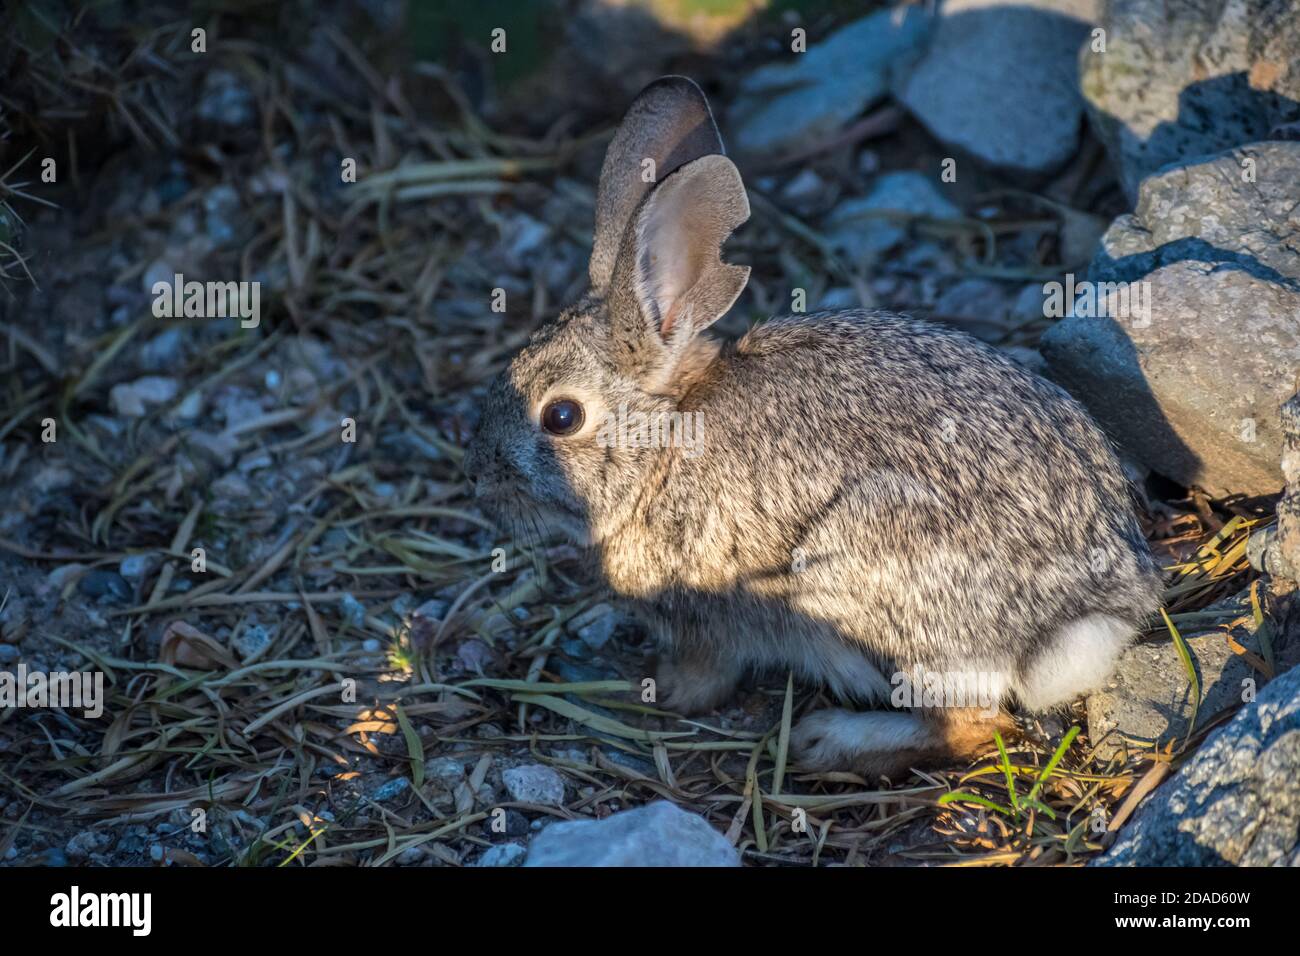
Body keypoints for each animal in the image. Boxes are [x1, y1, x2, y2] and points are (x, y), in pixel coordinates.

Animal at [463, 76, 1163, 780]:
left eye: (561, 417)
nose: (482, 486)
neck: (663, 442)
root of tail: (1085, 614)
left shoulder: (707, 616)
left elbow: (704, 673)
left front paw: (661, 689)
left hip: (869, 589)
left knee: (973, 723)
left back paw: (827, 740)